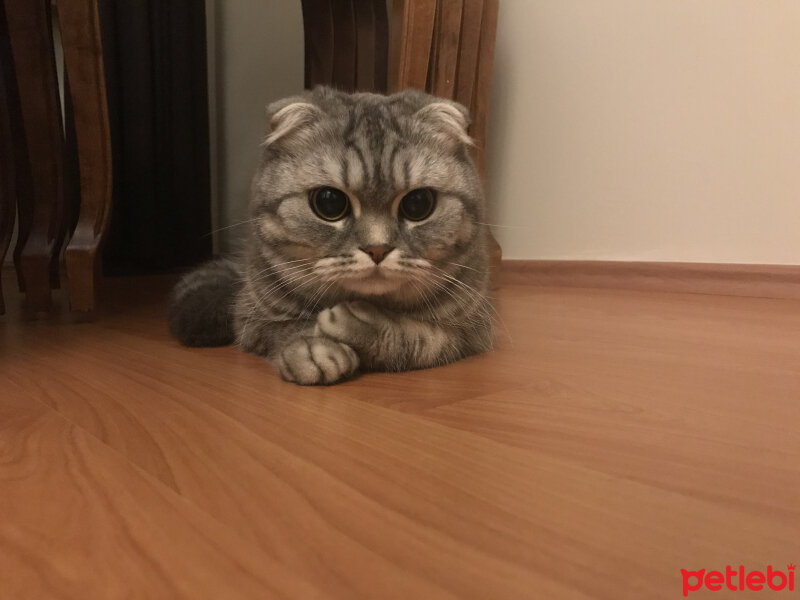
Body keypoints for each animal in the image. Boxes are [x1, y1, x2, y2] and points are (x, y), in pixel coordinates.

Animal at [169, 85, 494, 384]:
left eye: (418, 204)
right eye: (329, 202)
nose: (377, 249)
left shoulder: (473, 331)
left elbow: (425, 337)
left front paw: (363, 324)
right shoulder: (251, 318)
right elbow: (286, 329)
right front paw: (312, 349)